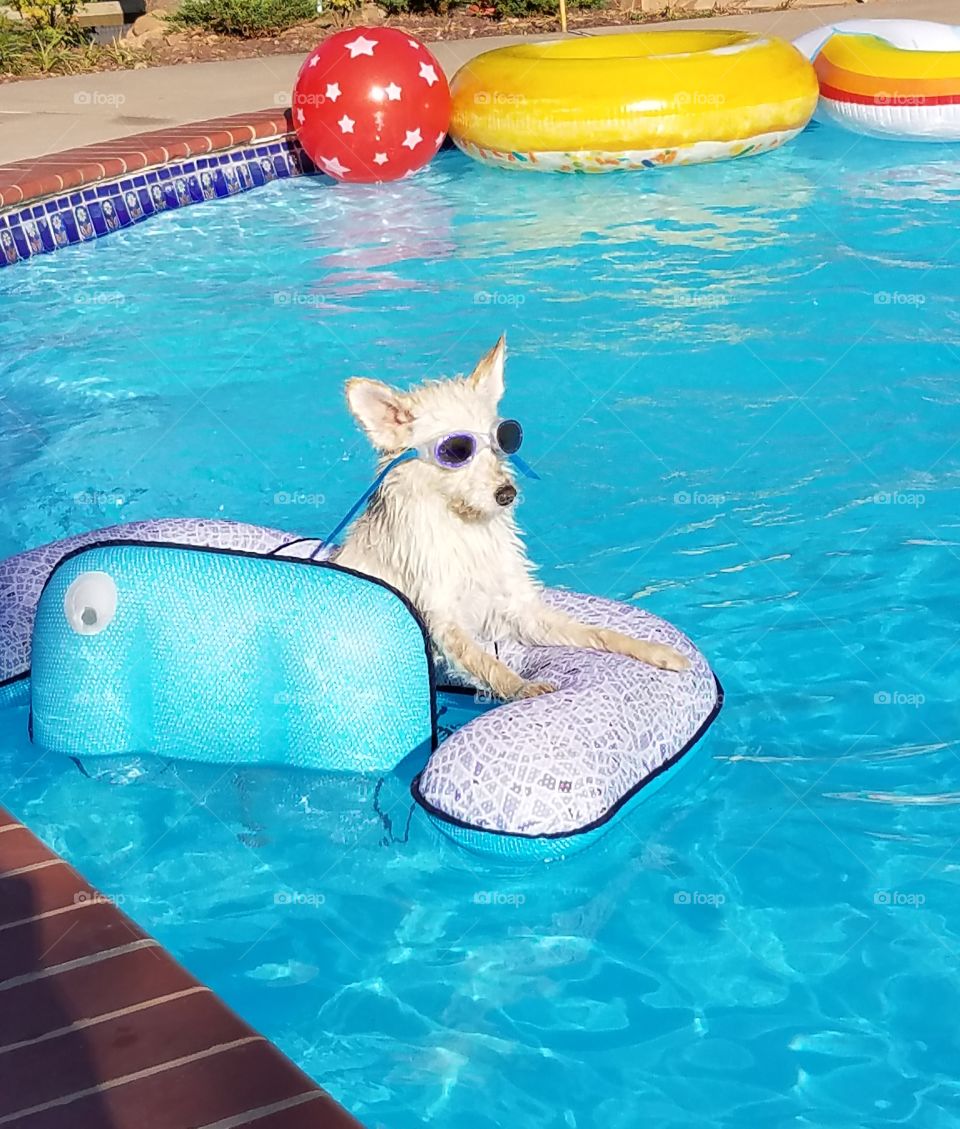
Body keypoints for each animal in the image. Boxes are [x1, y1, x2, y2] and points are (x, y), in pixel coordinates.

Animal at [332, 334, 686, 695]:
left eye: (502, 441)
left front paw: (648, 649)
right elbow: (486, 661)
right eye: (456, 451)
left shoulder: (522, 610)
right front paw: (521, 687)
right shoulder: (443, 621)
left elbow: (592, 631)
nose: (507, 494)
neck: (466, 527)